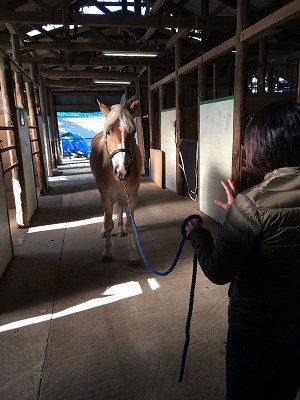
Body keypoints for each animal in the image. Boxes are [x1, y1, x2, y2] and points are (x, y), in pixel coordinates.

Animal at [89, 100, 142, 268]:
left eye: (133, 132)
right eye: (108, 132)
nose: (122, 171)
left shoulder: (132, 196)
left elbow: (130, 225)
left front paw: (133, 254)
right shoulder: (105, 196)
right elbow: (108, 223)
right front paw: (107, 252)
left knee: (121, 206)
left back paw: (120, 229)